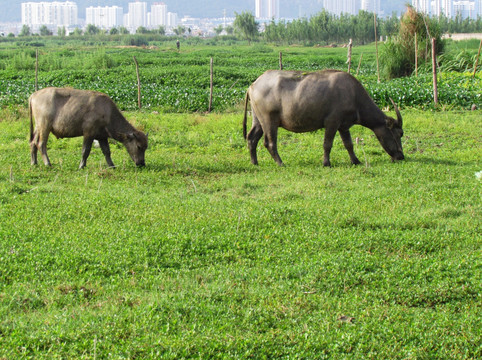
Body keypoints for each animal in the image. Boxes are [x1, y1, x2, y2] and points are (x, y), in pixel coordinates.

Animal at [243, 69, 404, 167]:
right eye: (398, 134)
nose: (401, 156)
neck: (354, 96)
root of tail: (253, 85)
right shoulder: (332, 122)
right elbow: (327, 144)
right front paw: (326, 163)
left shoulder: (343, 126)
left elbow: (349, 144)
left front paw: (355, 161)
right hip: (269, 120)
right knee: (269, 143)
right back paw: (281, 163)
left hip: (258, 120)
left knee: (252, 138)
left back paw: (254, 162)